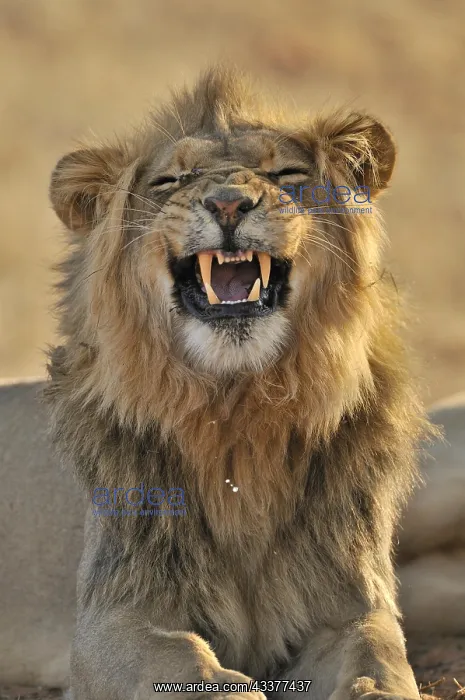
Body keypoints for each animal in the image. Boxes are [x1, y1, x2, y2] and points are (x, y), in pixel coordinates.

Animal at [1, 67, 463, 697]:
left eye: (286, 174)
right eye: (171, 180)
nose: (227, 203)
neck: (238, 409)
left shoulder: (349, 608)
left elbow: (379, 657)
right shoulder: (110, 622)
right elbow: (188, 663)